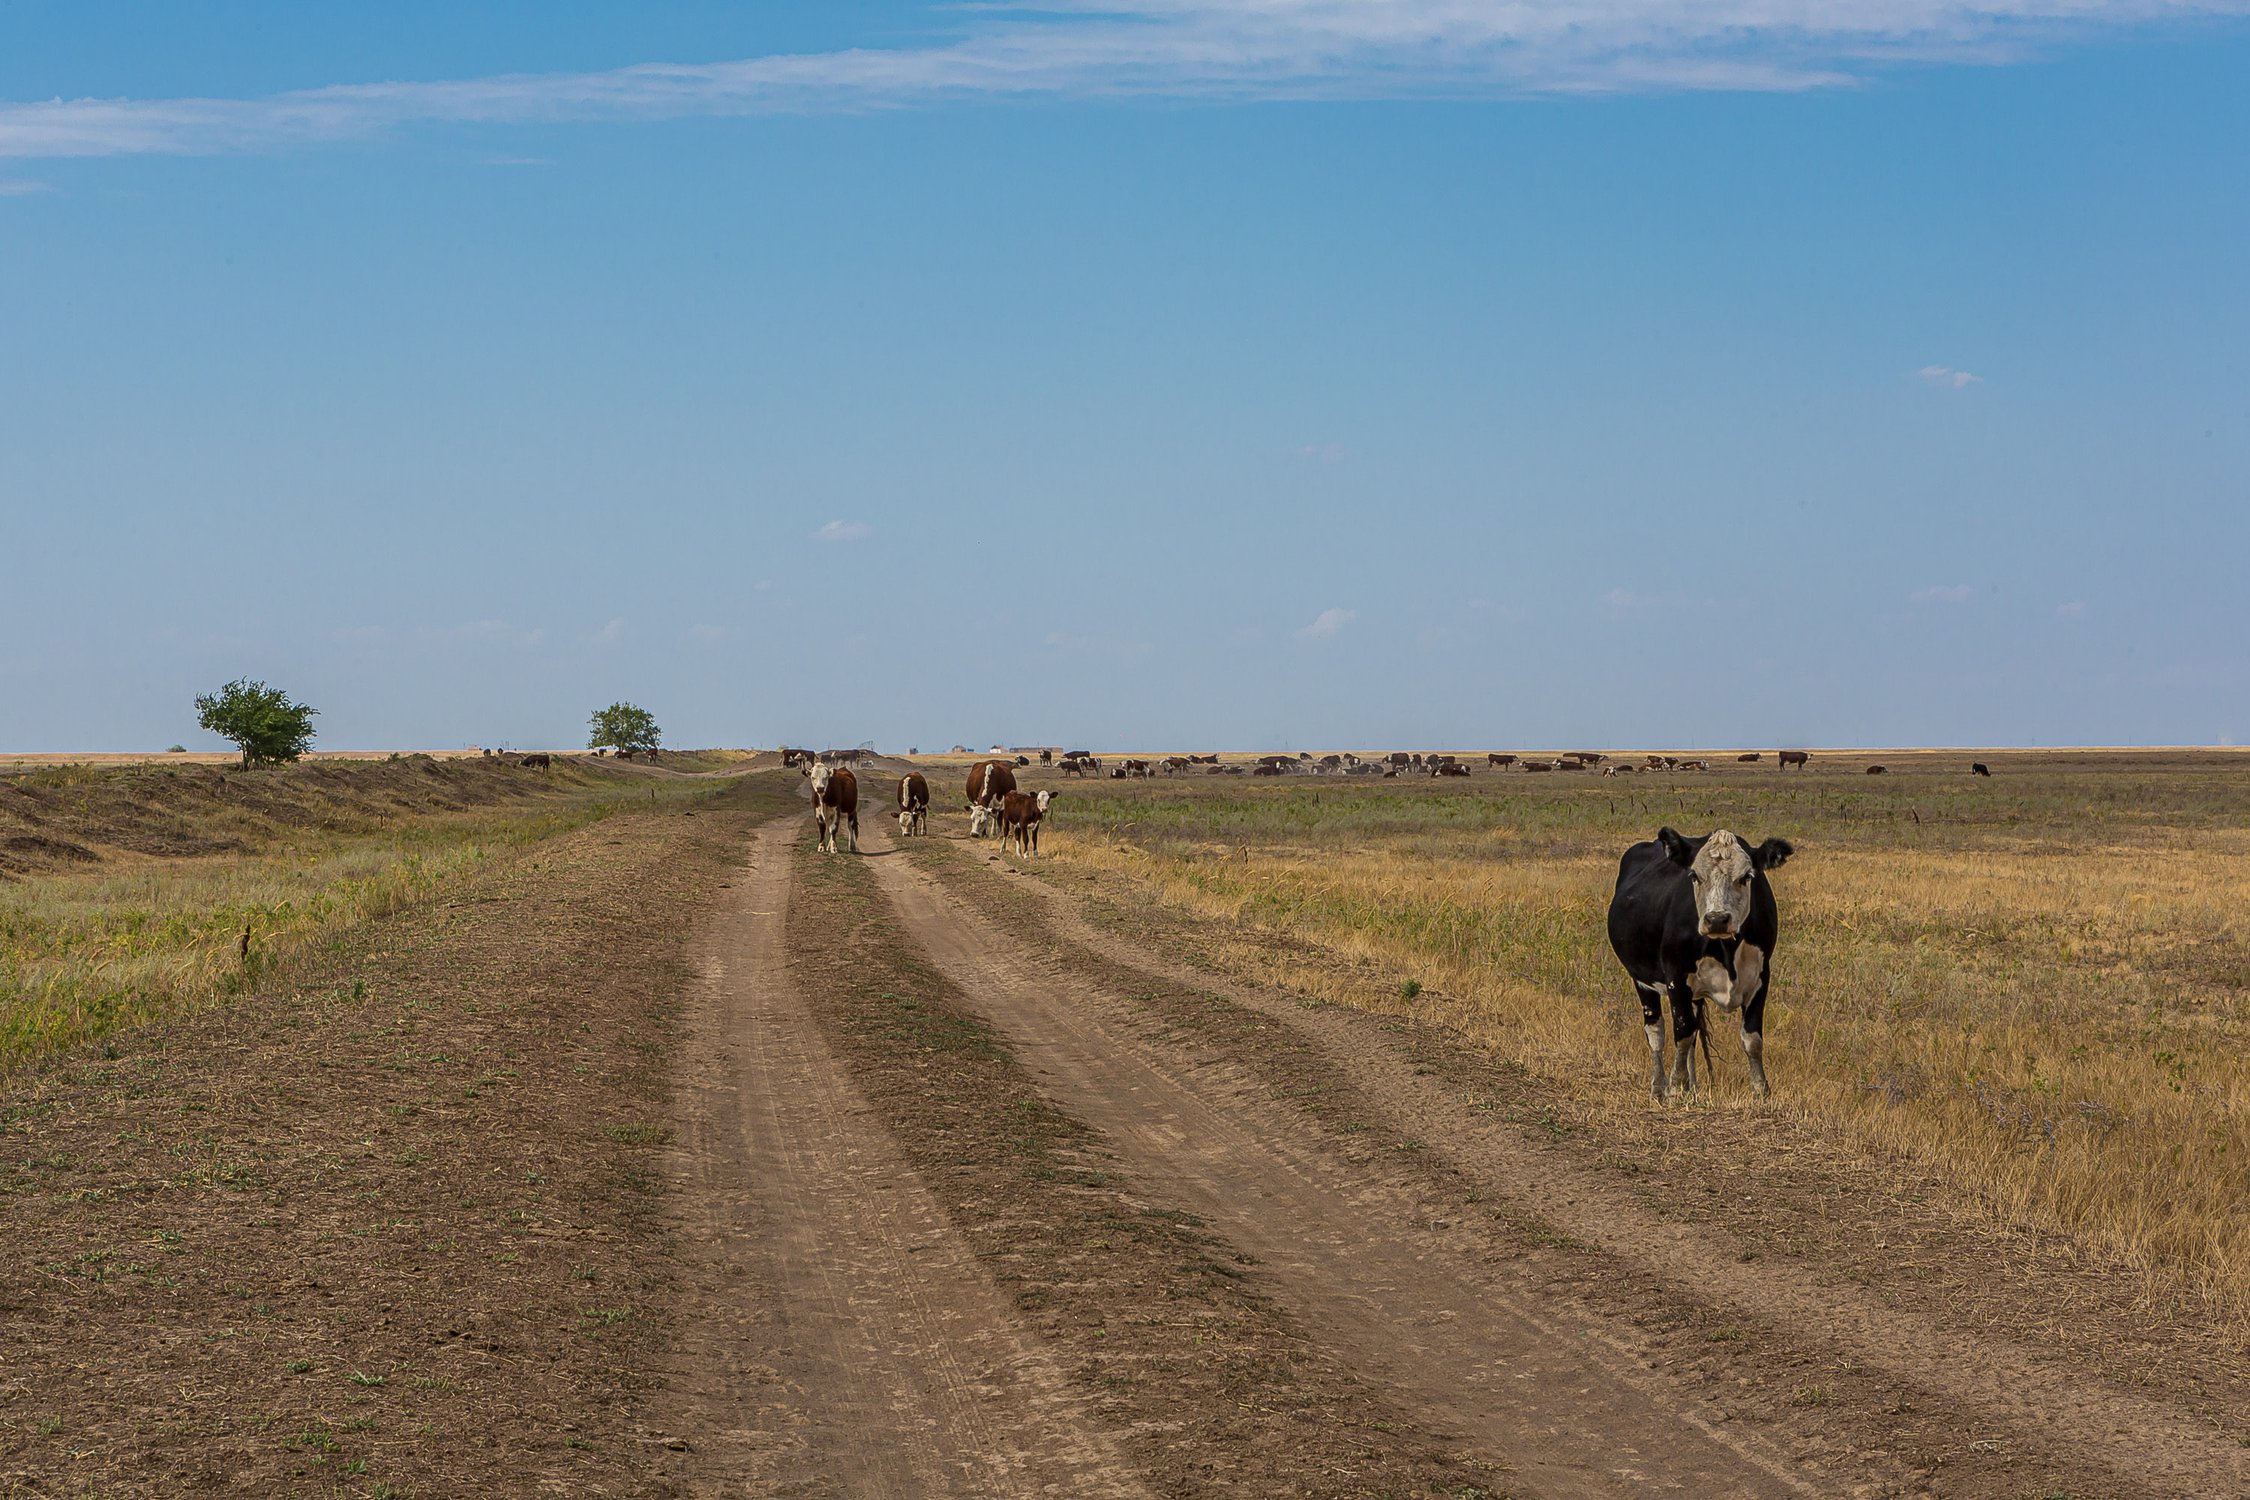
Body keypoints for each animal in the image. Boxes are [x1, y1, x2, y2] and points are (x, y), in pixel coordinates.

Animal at [1602, 827, 1791, 1097]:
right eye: (1694, 875)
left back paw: (1692, 1086)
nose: (1717, 919)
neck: (1726, 949)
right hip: (1642, 981)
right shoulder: (1676, 978)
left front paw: (1761, 1091)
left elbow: (1752, 1039)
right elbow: (1682, 1033)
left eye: (1747, 876)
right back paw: (1659, 1086)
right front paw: (1676, 1086)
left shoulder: (1760, 978)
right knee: (1656, 1032)